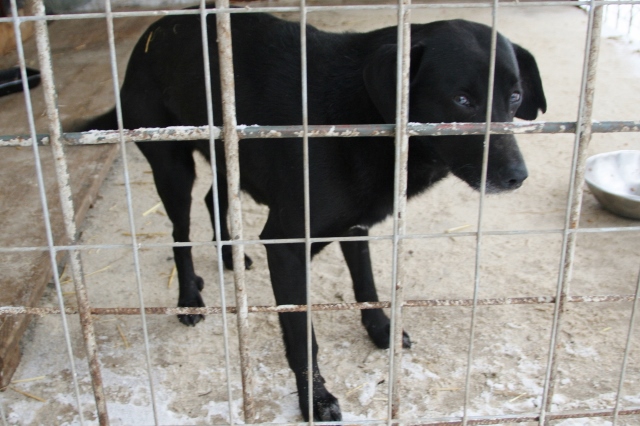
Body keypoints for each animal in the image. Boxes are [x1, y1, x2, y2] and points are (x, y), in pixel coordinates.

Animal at [85, 10, 546, 422]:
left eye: (515, 97)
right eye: (462, 100)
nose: (517, 176)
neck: (362, 112)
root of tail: (154, 30)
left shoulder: (355, 223)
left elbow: (366, 283)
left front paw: (381, 329)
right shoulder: (285, 245)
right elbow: (303, 339)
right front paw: (316, 399)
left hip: (231, 157)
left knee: (214, 199)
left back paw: (230, 257)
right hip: (172, 166)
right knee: (180, 231)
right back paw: (189, 297)